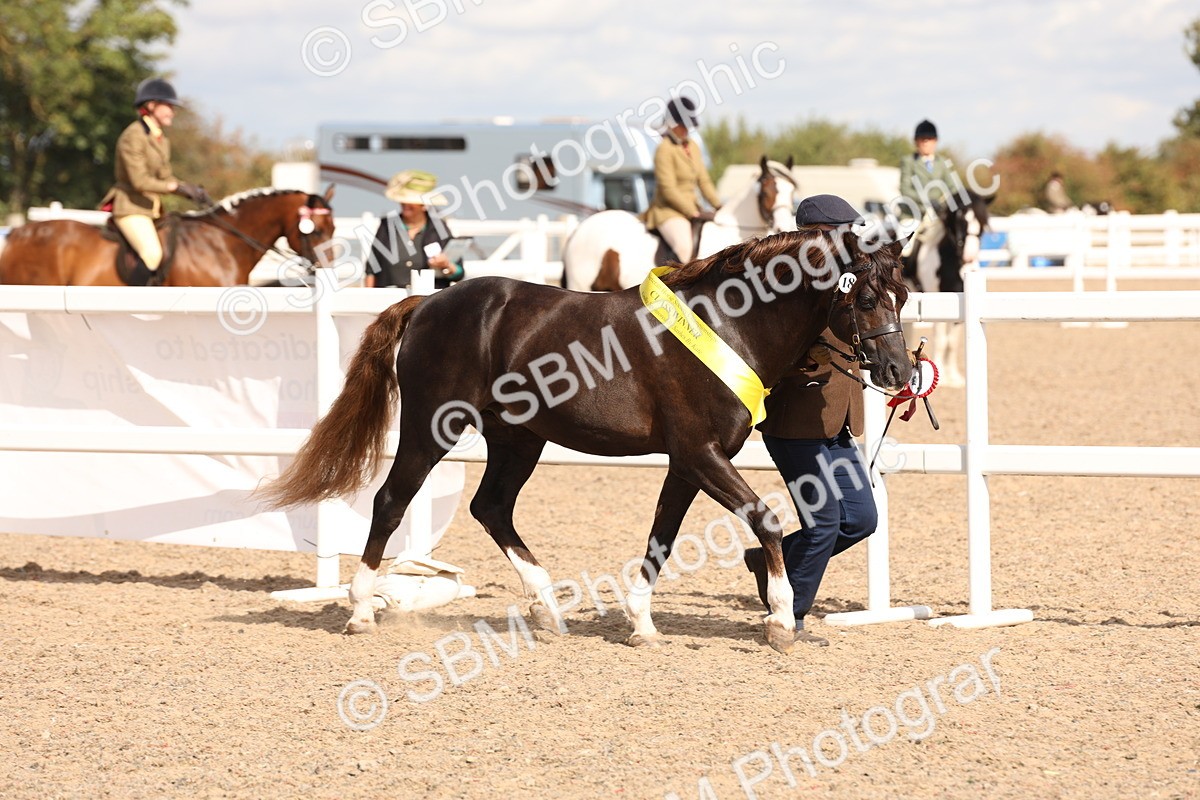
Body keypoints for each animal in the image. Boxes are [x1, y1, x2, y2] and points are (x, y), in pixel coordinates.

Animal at [259, 228, 911, 653]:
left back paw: (547, 611)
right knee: (392, 502)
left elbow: (661, 536)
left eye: (903, 295)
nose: (899, 371)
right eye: (864, 296)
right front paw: (777, 620)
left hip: (517, 440)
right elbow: (767, 522)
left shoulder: (688, 461)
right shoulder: (700, 454)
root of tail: (428, 303)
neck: (730, 325)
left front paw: (641, 624)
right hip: (430, 428)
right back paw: (360, 612)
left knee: (491, 507)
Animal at [900, 190, 991, 386]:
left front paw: (954, 377)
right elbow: (942, 340)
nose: (969, 257)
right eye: (959, 219)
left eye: (982, 221)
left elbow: (952, 342)